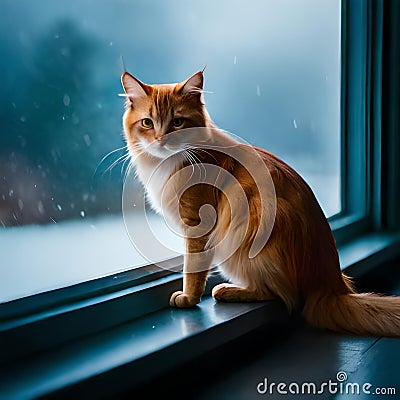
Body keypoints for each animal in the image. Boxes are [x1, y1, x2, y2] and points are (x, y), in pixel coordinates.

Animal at [121, 70, 400, 336]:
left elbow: (193, 269)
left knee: (279, 295)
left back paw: (227, 291)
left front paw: (188, 298)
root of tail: (331, 283)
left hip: (244, 230)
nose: (160, 139)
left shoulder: (198, 223)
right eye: (147, 123)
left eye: (177, 122)